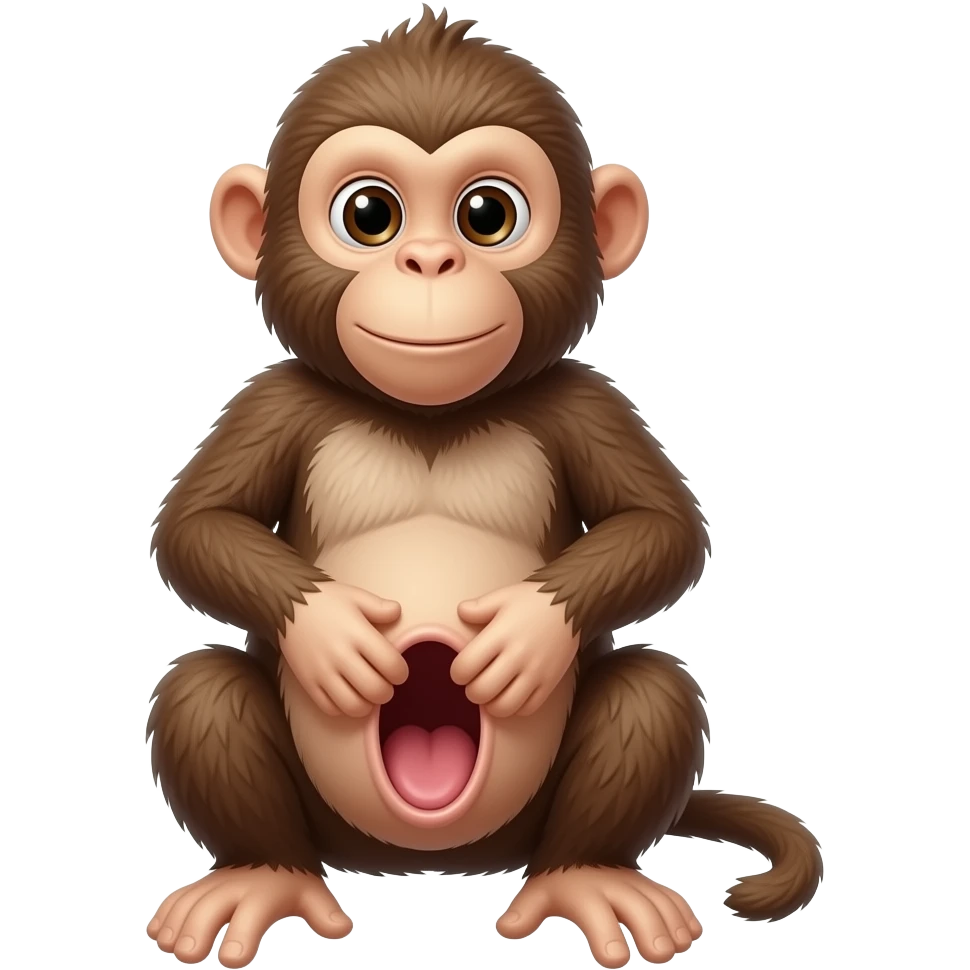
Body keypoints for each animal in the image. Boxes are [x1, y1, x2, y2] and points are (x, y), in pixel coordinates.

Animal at [145, 7, 823, 969]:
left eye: (487, 214)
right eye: (370, 215)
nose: (431, 261)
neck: (431, 416)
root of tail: (427, 862)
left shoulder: (587, 400)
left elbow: (662, 528)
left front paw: (526, 632)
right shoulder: (272, 399)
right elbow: (198, 527)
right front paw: (331, 631)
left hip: (534, 822)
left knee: (651, 694)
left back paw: (589, 875)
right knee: (203, 692)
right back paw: (260, 875)